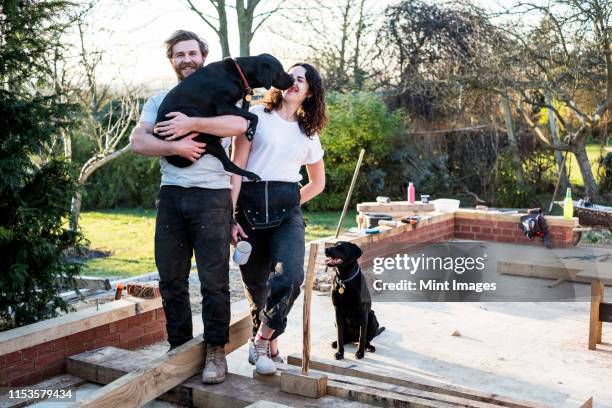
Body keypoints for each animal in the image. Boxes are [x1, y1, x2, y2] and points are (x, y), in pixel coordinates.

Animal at [155, 53, 294, 181]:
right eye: (280, 69)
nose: (293, 80)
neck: (240, 73)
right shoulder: (224, 106)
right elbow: (254, 116)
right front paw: (251, 132)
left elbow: (247, 113)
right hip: (188, 112)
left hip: (212, 146)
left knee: (228, 165)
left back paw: (251, 174)